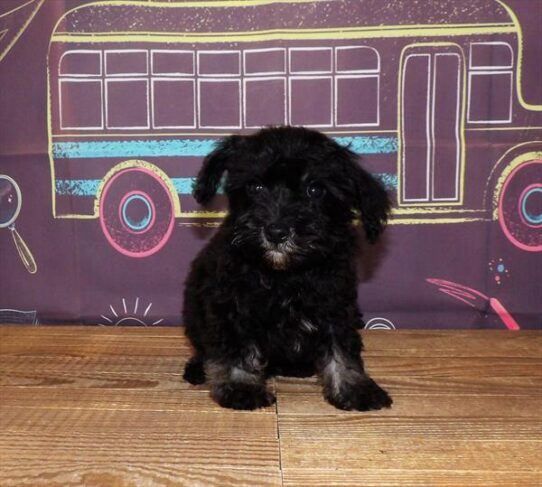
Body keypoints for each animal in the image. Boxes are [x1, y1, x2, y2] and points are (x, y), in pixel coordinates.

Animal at [185, 126, 394, 412]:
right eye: (256, 187)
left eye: (315, 190)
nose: (276, 232)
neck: (286, 273)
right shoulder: (232, 305)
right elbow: (237, 348)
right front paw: (241, 388)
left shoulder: (336, 307)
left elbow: (342, 349)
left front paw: (355, 388)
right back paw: (198, 368)